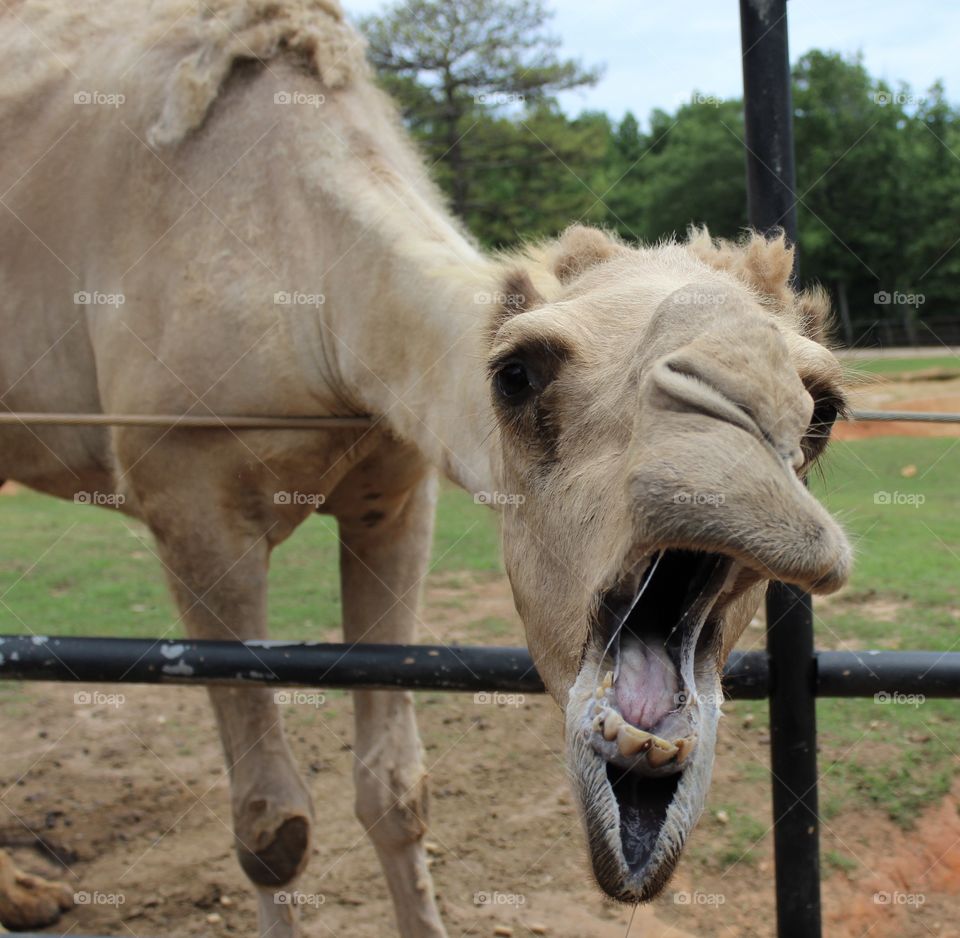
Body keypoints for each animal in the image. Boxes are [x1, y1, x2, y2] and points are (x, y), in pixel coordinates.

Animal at [0, 0, 851, 934]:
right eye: (516, 373)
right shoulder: (188, 495)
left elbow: (396, 793)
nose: (725, 474)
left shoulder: (394, 493)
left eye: (822, 410)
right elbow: (270, 828)